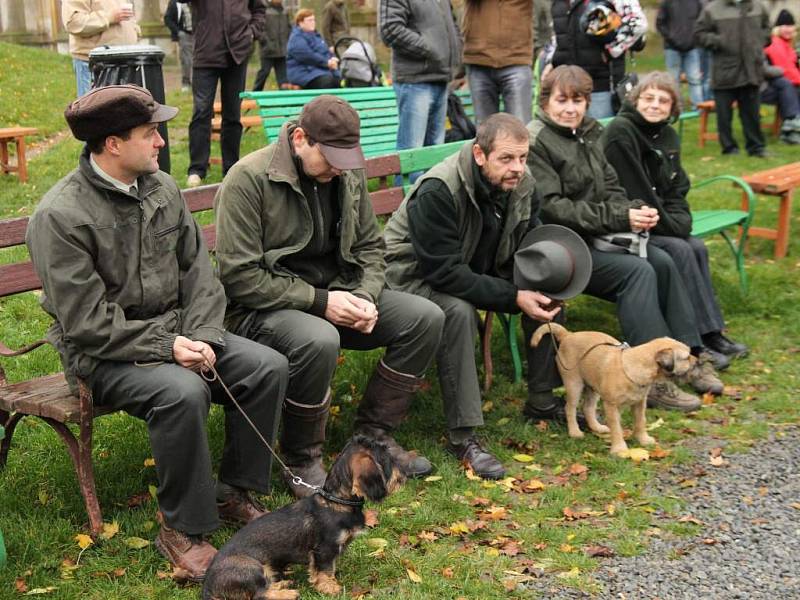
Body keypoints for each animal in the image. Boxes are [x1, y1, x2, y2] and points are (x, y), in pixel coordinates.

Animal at [532, 324, 692, 454]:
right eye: (686, 357)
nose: (696, 361)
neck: (633, 367)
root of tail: (568, 335)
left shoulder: (639, 404)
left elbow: (641, 422)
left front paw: (643, 439)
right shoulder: (611, 406)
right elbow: (616, 428)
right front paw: (619, 448)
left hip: (593, 388)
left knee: (587, 408)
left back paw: (597, 427)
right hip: (574, 384)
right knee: (569, 408)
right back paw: (574, 431)